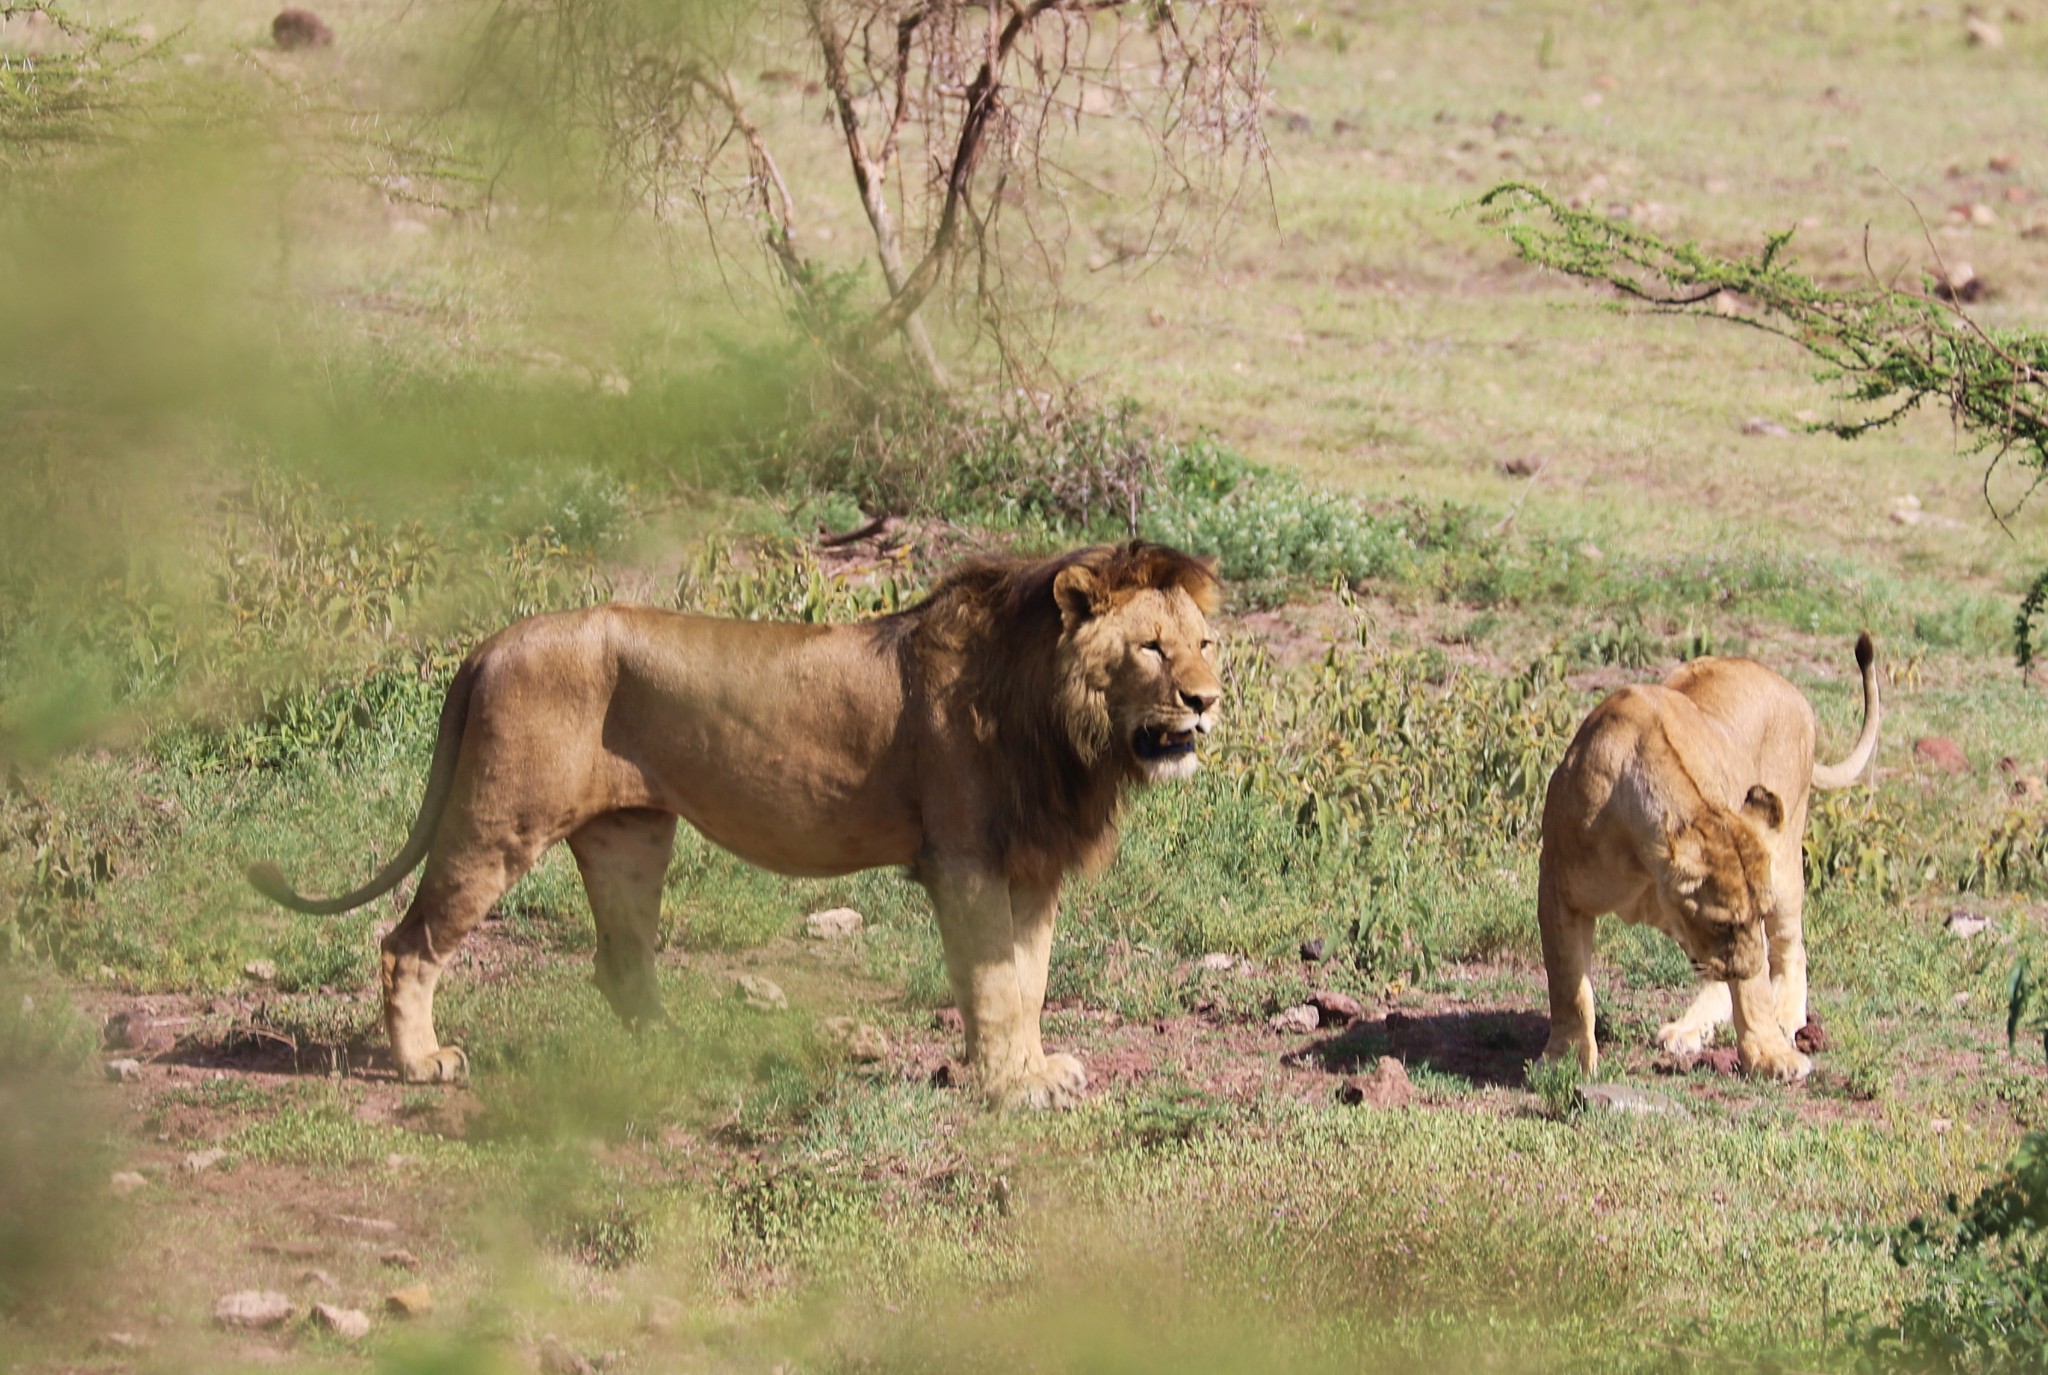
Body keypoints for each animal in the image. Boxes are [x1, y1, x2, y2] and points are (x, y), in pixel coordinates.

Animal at [249, 536, 1220, 1106]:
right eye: (1150, 648)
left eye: (1206, 643)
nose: (1207, 702)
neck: (1069, 731)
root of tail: (489, 644)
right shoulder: (967, 859)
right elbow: (995, 985)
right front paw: (1012, 1088)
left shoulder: (1032, 863)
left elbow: (1030, 978)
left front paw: (1031, 1070)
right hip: (498, 822)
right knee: (406, 942)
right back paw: (423, 1063)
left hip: (632, 834)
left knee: (619, 959)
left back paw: (676, 1052)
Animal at [1531, 639, 1875, 1090]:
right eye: (1721, 923)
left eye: (1756, 914)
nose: (1751, 968)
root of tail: (1787, 685)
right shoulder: (1559, 888)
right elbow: (1568, 984)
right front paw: (1565, 1059)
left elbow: (1752, 991)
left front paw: (1770, 1055)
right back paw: (1691, 1028)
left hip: (1783, 859)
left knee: (1790, 948)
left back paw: (1781, 1017)